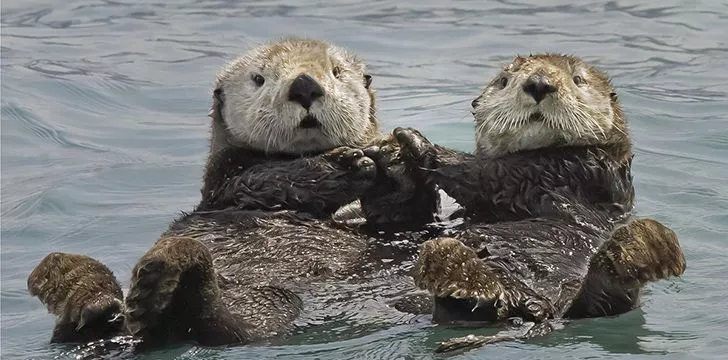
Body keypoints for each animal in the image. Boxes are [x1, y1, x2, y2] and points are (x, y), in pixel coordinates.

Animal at [27, 38, 438, 350]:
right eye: (259, 78)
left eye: (336, 72)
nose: (304, 85)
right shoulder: (229, 181)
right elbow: (269, 180)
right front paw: (347, 165)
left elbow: (400, 212)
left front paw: (396, 159)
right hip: (260, 295)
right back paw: (123, 293)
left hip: (265, 299)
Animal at [390, 53, 684, 352]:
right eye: (504, 80)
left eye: (578, 80)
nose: (539, 83)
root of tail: (542, 313)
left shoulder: (567, 171)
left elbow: (483, 174)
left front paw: (413, 140)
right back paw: (456, 270)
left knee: (606, 304)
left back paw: (640, 250)